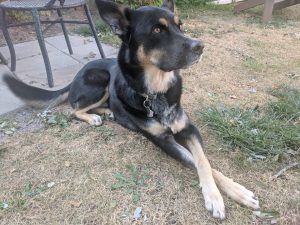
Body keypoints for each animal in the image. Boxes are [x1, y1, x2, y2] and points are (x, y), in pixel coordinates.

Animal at [2, 0, 260, 219]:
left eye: (180, 26)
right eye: (157, 30)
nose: (201, 46)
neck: (156, 92)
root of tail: (78, 73)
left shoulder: (188, 128)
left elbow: (205, 161)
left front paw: (237, 191)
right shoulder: (163, 141)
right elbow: (197, 162)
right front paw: (215, 198)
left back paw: (107, 113)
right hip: (101, 80)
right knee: (73, 109)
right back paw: (94, 117)